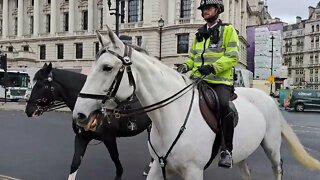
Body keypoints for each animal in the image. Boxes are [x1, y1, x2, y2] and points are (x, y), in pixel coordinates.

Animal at [24, 62, 152, 179]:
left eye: (42, 85)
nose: (28, 110)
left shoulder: (109, 138)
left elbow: (115, 159)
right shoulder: (81, 138)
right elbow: (75, 163)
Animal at [72, 27, 320, 180]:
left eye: (107, 67)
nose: (79, 114)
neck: (170, 117)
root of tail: (267, 97)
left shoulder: (193, 172)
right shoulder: (158, 167)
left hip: (271, 146)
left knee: (277, 168)